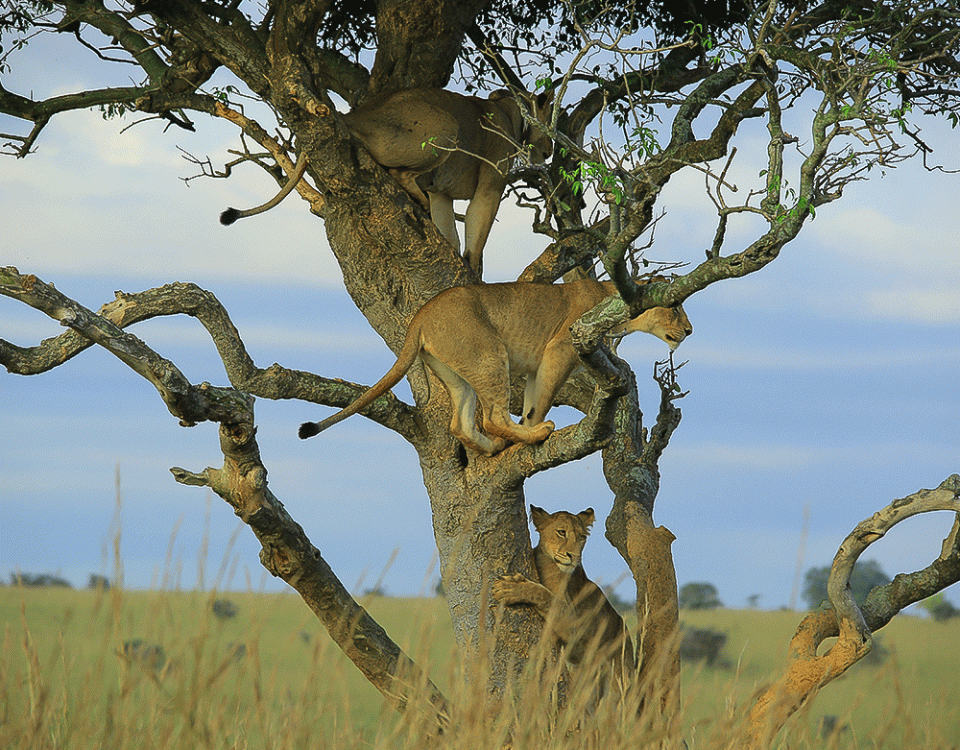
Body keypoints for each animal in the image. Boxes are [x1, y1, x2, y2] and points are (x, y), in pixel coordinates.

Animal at [298, 278, 692, 456]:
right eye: (674, 307)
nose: (689, 330)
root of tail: (420, 315)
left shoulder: (536, 367)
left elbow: (532, 400)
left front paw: (525, 430)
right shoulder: (560, 348)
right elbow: (542, 400)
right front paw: (532, 431)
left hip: (458, 372)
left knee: (461, 424)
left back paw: (494, 447)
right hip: (488, 354)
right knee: (491, 417)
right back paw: (530, 435)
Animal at [493, 505, 635, 699]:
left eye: (582, 537)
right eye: (561, 532)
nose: (573, 556)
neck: (546, 564)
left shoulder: (575, 625)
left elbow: (543, 594)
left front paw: (509, 588)